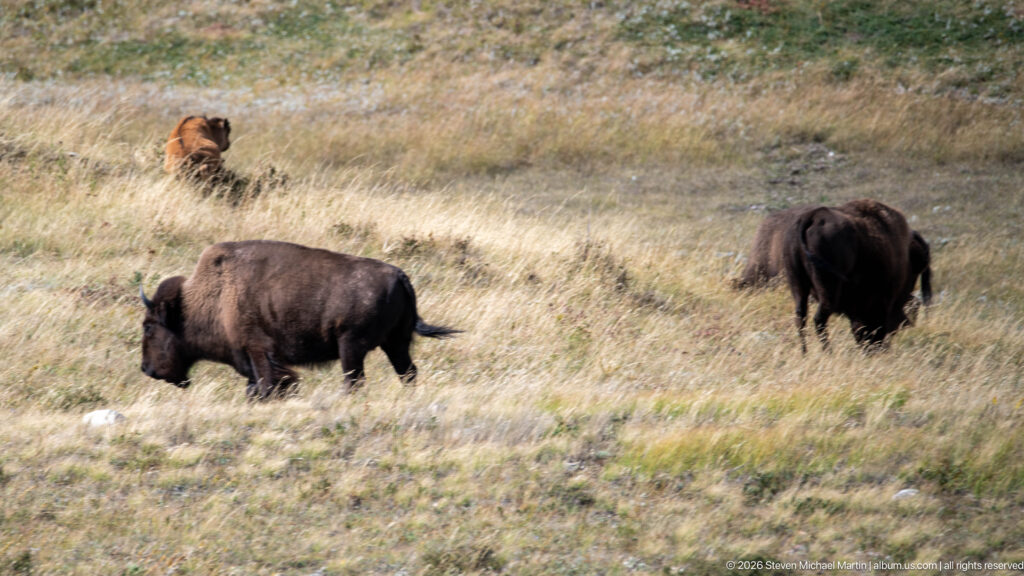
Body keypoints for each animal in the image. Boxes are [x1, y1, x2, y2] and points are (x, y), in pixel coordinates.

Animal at [139, 240, 461, 400]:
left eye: (149, 327)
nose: (146, 369)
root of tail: (400, 275)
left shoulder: (258, 351)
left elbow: (268, 383)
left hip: (352, 346)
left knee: (355, 380)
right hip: (395, 344)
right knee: (407, 373)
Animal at [782, 199, 932, 352]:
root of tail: (812, 217)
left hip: (798, 285)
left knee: (801, 318)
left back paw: (805, 352)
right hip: (828, 291)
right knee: (819, 319)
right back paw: (828, 351)